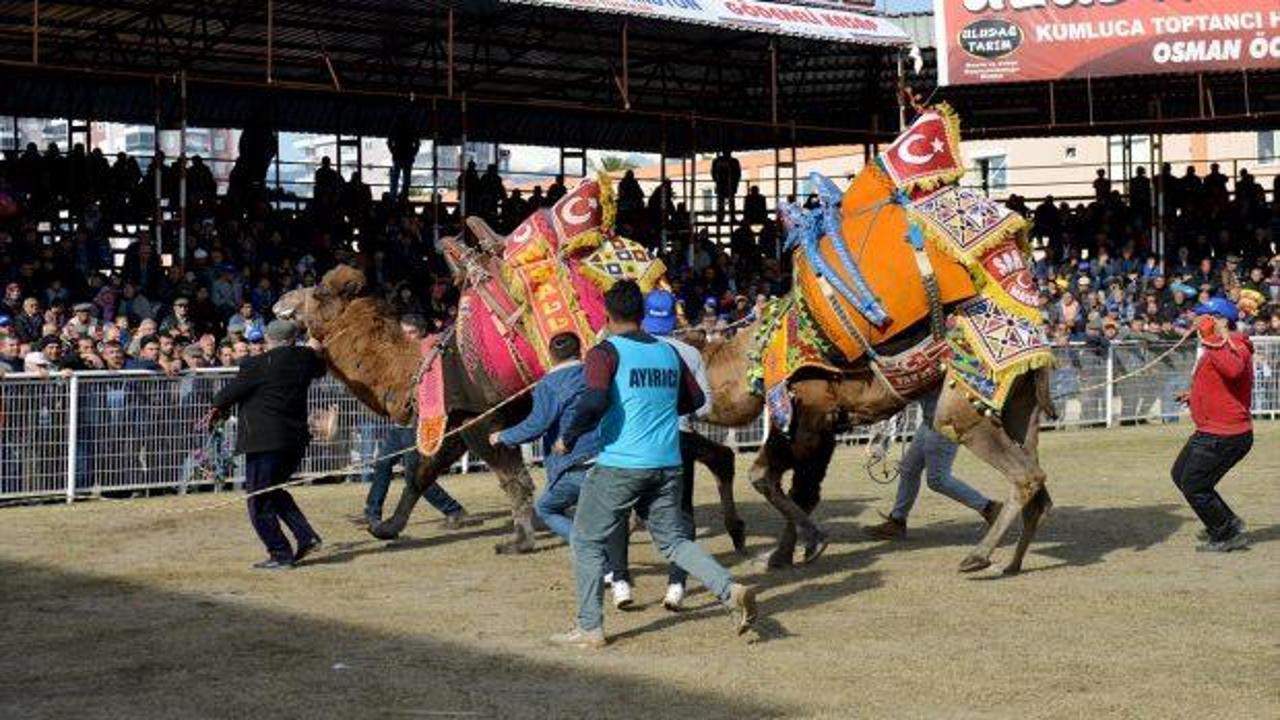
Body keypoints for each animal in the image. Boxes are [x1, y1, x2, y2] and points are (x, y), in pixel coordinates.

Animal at [275, 266, 540, 550]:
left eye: (320, 292)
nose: (280, 300)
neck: (419, 368)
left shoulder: (480, 418)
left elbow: (514, 479)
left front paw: (519, 541)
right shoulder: (451, 423)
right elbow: (419, 477)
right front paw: (384, 527)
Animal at [701, 316, 1049, 573]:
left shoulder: (810, 418)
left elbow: (769, 478)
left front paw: (806, 544)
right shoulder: (824, 427)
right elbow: (800, 490)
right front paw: (784, 554)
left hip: (968, 400)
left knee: (1022, 473)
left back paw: (978, 556)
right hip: (1020, 405)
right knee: (1036, 479)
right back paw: (1013, 563)